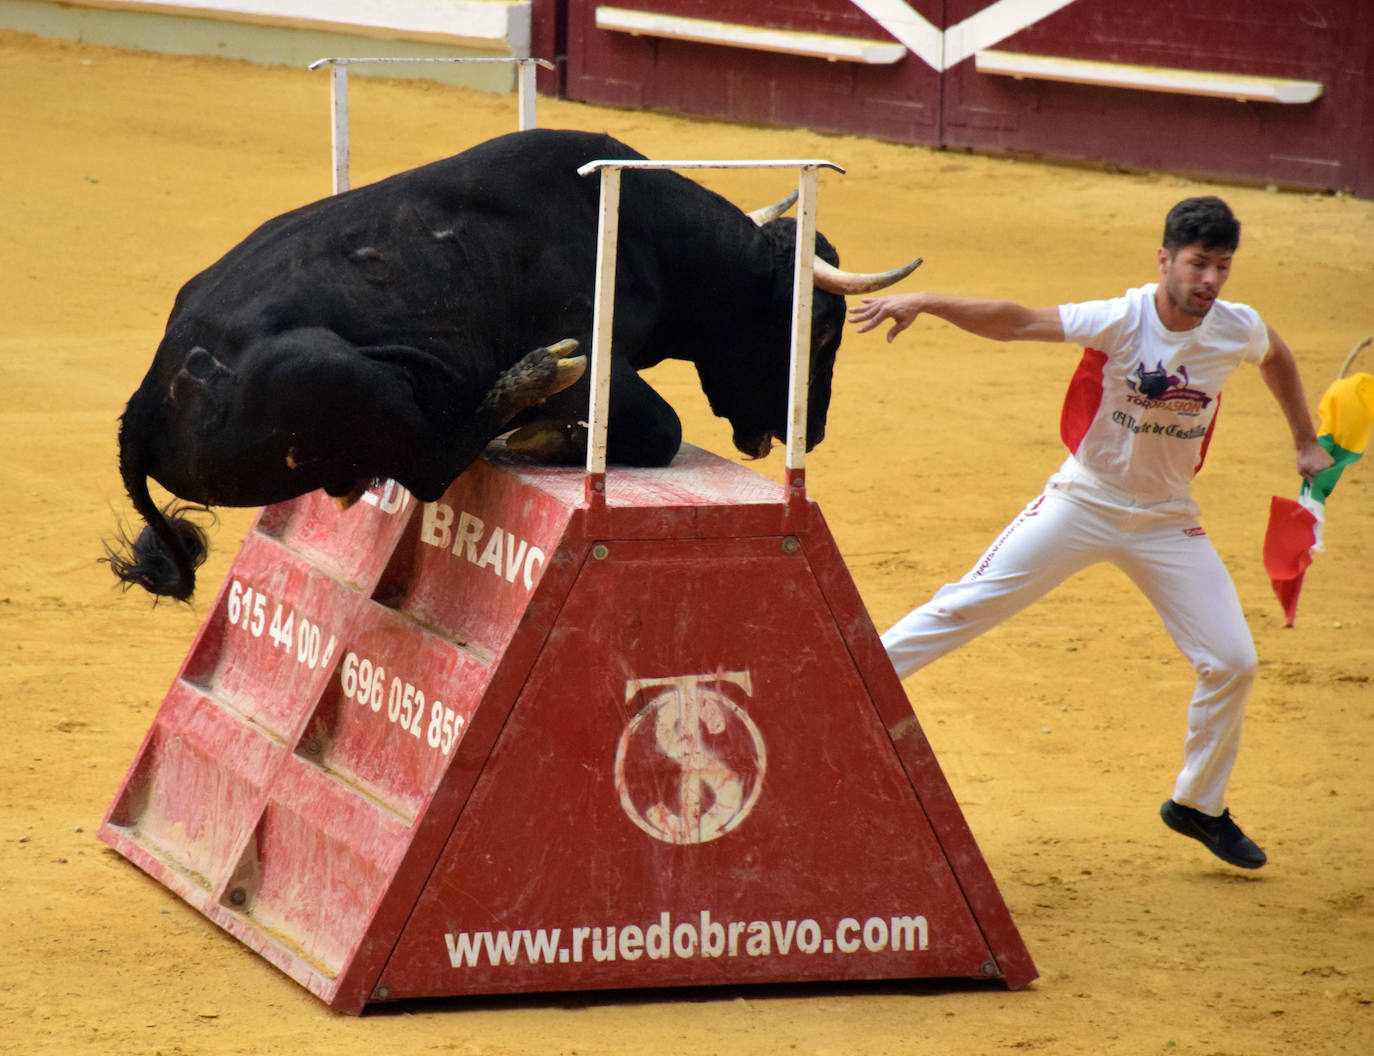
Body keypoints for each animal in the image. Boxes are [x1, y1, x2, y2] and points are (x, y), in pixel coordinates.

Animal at [107, 127, 917, 598]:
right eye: (821, 331)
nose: (812, 432)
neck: (648, 232)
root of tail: (141, 408)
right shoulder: (599, 359)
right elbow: (661, 427)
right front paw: (544, 432)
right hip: (339, 370)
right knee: (431, 465)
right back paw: (527, 382)